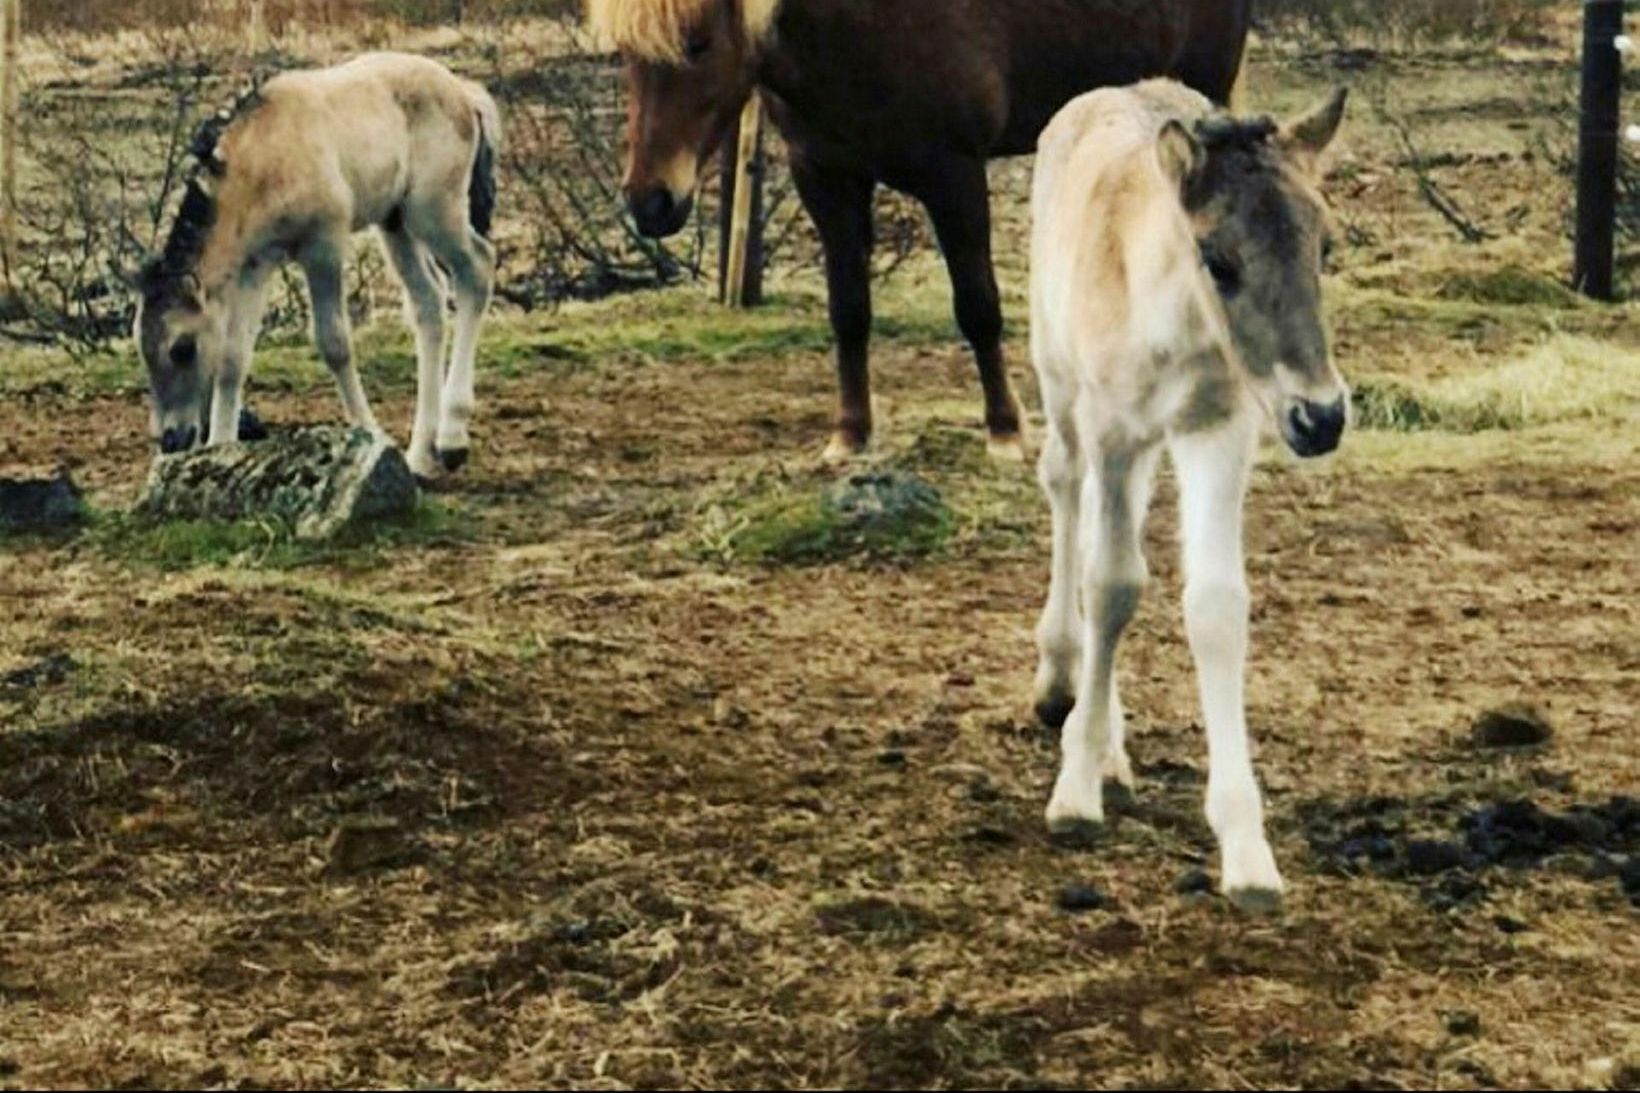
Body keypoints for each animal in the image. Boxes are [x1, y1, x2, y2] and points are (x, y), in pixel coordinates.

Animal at [134, 52, 498, 475]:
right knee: (429, 302)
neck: (263, 156)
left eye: (182, 349)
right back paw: (420, 455)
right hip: (395, 222)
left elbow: (334, 343)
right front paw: (220, 449)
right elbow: (231, 358)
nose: (171, 440)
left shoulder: (323, 246)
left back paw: (452, 438)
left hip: (433, 211)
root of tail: (464, 93)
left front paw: (368, 431)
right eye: (143, 350)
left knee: (477, 268)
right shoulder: (256, 265)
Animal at [596, 0, 1246, 456]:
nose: (650, 202)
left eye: (698, 43)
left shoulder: (953, 175)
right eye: (624, 53)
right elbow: (848, 310)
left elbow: (977, 306)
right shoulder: (826, 179)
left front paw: (1005, 431)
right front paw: (851, 434)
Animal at [1029, 80, 1351, 905]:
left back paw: (1112, 743)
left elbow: (1215, 607)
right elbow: (1111, 585)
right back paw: (1061, 684)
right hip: (1061, 387)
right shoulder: (1111, 428)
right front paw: (1075, 792)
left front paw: (1246, 848)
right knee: (1065, 492)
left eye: (1325, 247)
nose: (1321, 417)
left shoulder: (1218, 431)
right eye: (1218, 258)